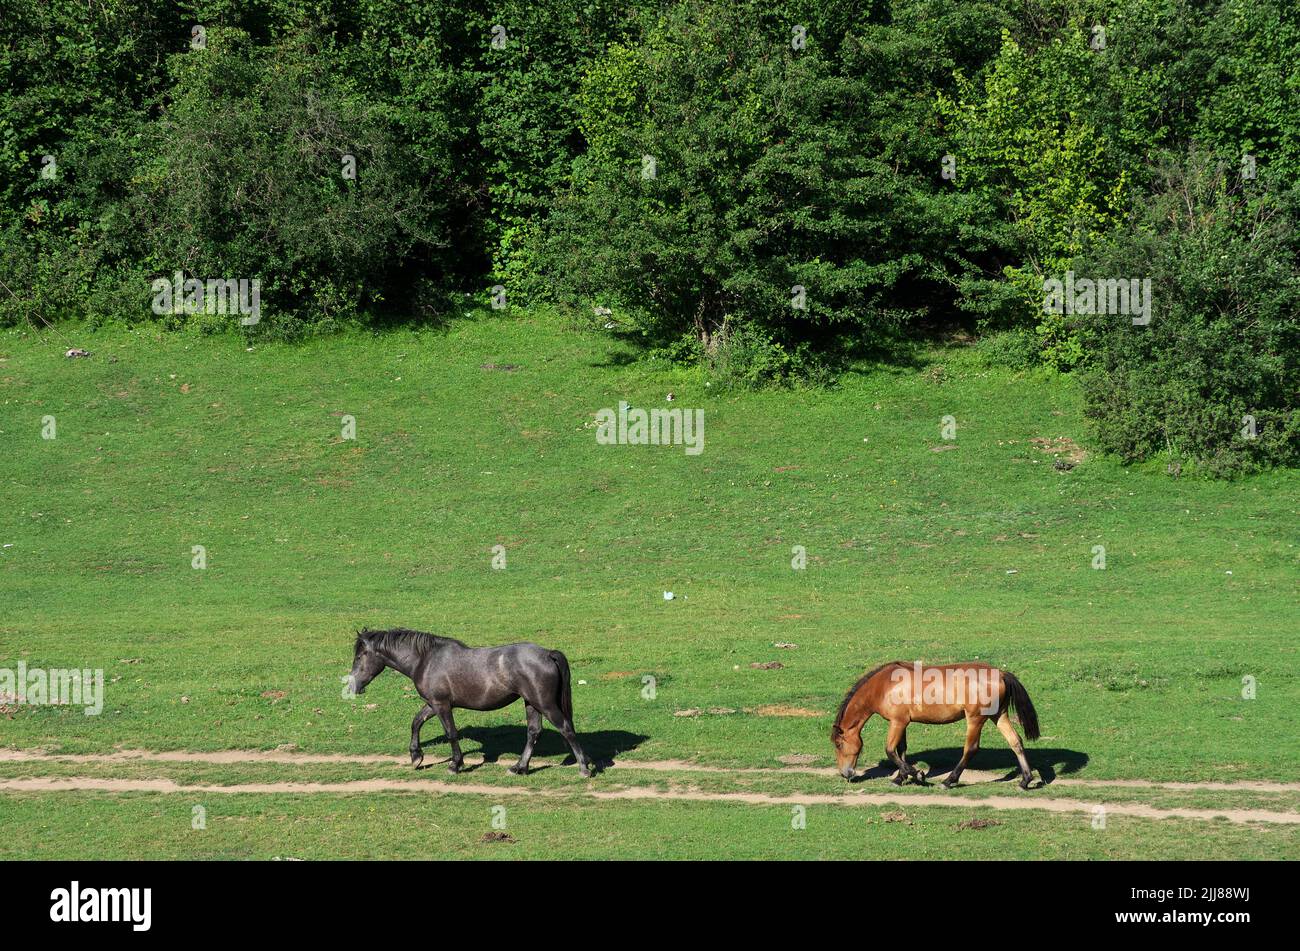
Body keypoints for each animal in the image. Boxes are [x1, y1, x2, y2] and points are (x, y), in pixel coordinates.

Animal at [345, 628, 590, 774]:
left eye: (359, 656)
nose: (352, 686)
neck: (426, 660)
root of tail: (547, 653)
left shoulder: (442, 705)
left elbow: (451, 733)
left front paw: (455, 764)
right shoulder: (433, 704)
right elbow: (416, 722)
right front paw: (416, 756)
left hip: (545, 704)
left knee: (566, 728)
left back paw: (584, 768)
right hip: (531, 703)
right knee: (533, 732)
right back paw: (519, 767)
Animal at [837, 659, 1040, 789]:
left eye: (838, 744)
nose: (845, 773)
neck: (884, 685)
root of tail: (1001, 674)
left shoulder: (897, 722)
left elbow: (890, 751)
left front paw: (917, 775)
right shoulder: (902, 723)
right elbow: (901, 750)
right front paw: (900, 778)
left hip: (975, 719)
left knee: (971, 749)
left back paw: (949, 781)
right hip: (998, 716)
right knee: (1015, 741)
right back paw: (1025, 781)